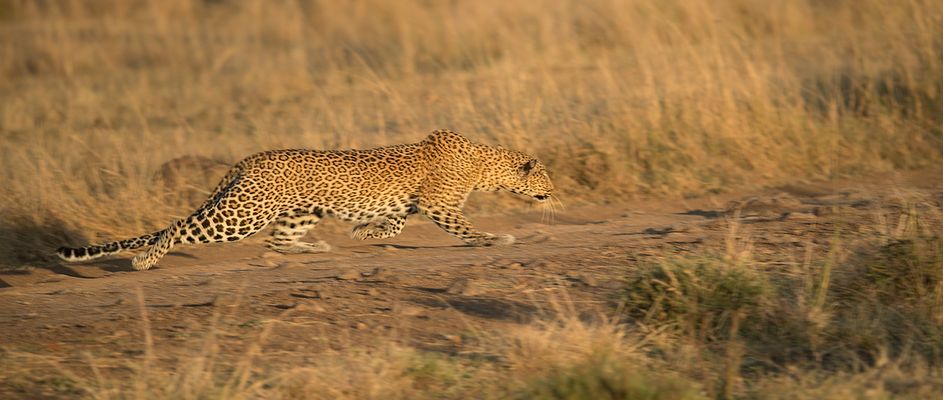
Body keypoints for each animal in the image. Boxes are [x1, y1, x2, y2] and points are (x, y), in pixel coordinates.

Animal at [56, 129, 554, 271]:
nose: (555, 194)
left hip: (298, 212)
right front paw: (495, 239)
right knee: (180, 226)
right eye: (546, 176)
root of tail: (251, 157)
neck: (486, 165)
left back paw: (316, 247)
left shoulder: (415, 203)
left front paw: (364, 230)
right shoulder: (440, 204)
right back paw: (145, 261)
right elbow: (465, 228)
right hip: (243, 214)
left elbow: (394, 221)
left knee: (277, 242)